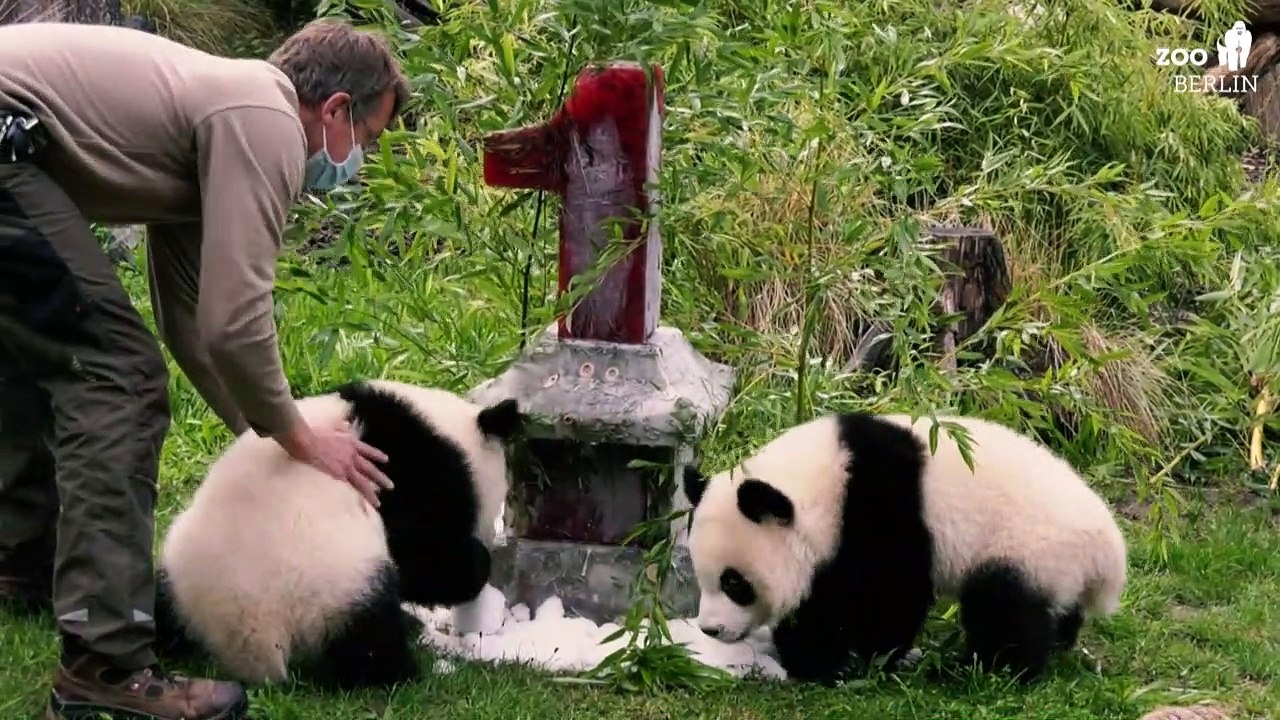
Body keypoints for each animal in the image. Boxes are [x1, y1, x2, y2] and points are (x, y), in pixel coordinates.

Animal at [152, 378, 523, 689]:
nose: (493, 537)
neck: (445, 434)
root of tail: (246, 637)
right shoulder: (406, 476)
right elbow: (418, 557)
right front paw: (475, 565)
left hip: (178, 566)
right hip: (332, 582)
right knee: (368, 635)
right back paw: (400, 672)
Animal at [680, 411, 1127, 684]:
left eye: (735, 583)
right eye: (702, 577)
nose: (710, 629)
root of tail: (1108, 551)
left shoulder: (880, 508)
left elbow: (887, 594)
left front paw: (829, 658)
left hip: (1030, 545)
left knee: (1003, 608)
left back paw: (981, 670)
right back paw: (1055, 642)